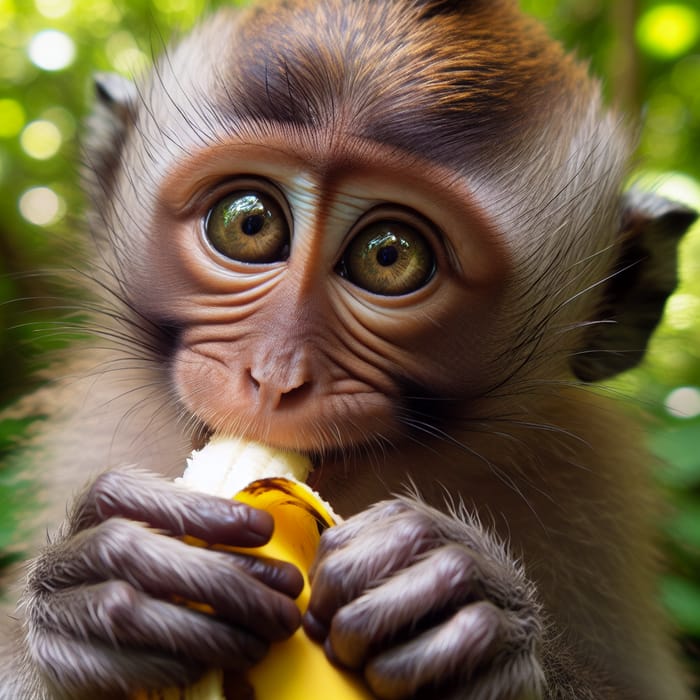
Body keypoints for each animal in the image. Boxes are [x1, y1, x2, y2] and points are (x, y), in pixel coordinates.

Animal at [1, 0, 700, 696]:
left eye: (388, 256)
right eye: (249, 222)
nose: (276, 376)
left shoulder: (595, 486)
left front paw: (474, 615)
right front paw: (90, 586)